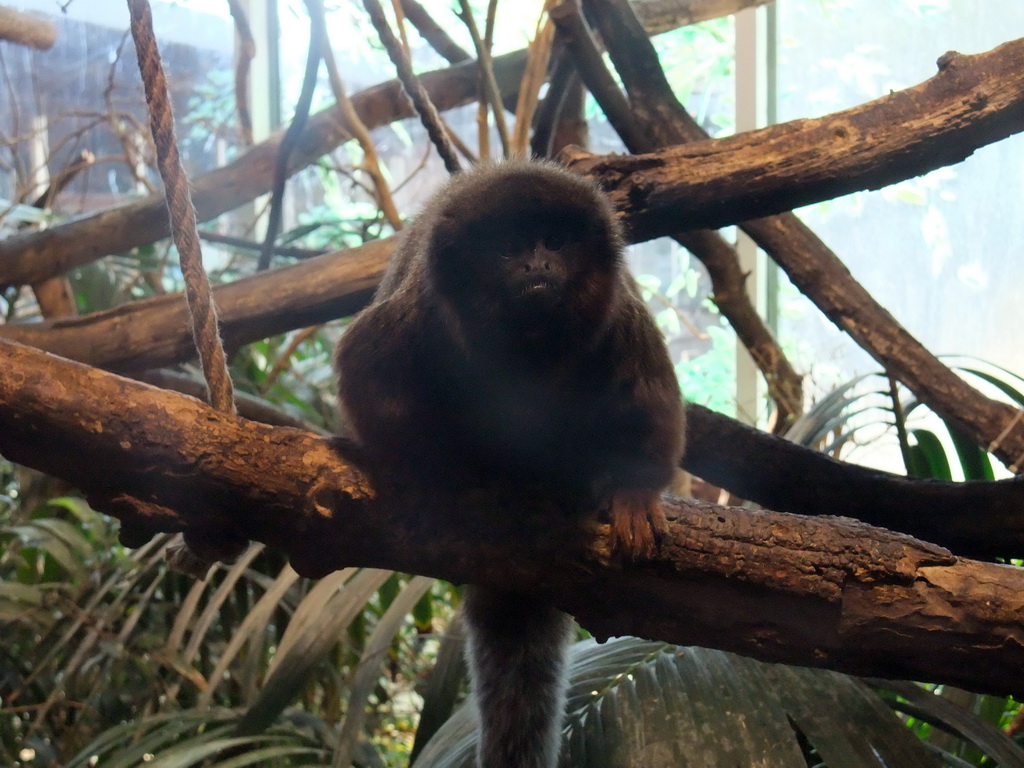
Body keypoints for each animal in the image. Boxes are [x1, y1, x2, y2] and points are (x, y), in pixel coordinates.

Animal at [335, 159, 688, 765]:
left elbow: (649, 401)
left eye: (554, 242)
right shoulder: (421, 312)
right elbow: (366, 374)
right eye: (509, 247)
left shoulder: (617, 313)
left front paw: (634, 493)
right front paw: (426, 470)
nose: (538, 264)